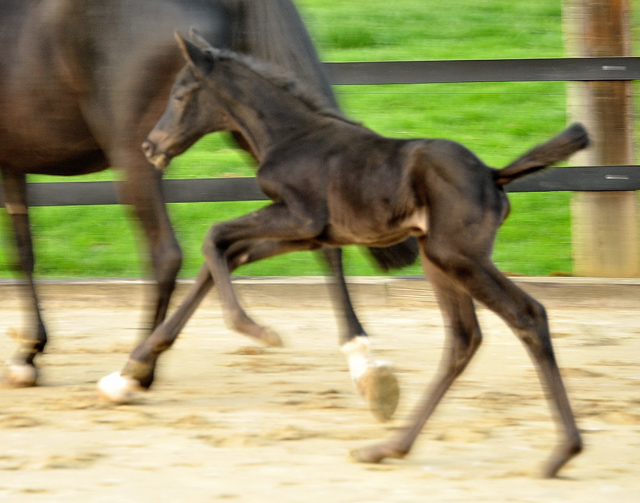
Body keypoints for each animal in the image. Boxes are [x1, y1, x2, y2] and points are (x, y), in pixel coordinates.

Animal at [0, 0, 412, 418]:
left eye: (181, 95)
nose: (153, 144)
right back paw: (366, 365)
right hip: (253, 135)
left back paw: (133, 373)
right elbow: (24, 249)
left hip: (133, 154)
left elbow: (19, 252)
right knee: (315, 241)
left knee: (167, 254)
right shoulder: (12, 163)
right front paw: (29, 352)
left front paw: (27, 355)